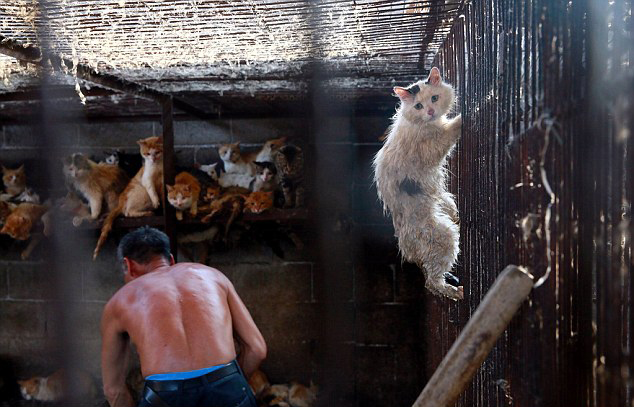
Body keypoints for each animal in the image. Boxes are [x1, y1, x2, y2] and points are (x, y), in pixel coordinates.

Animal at [372, 67, 462, 302]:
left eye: (434, 98)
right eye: (418, 106)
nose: (430, 111)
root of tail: (410, 253)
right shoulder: (432, 149)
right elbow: (452, 130)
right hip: (444, 237)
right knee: (432, 282)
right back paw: (455, 292)